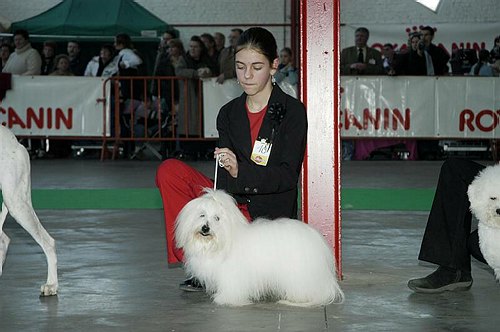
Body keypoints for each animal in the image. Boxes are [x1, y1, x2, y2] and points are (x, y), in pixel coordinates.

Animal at [175, 188, 344, 308]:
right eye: (202, 215)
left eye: (217, 218)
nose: (205, 228)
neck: (223, 240)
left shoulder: (232, 274)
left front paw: (226, 299)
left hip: (300, 272)